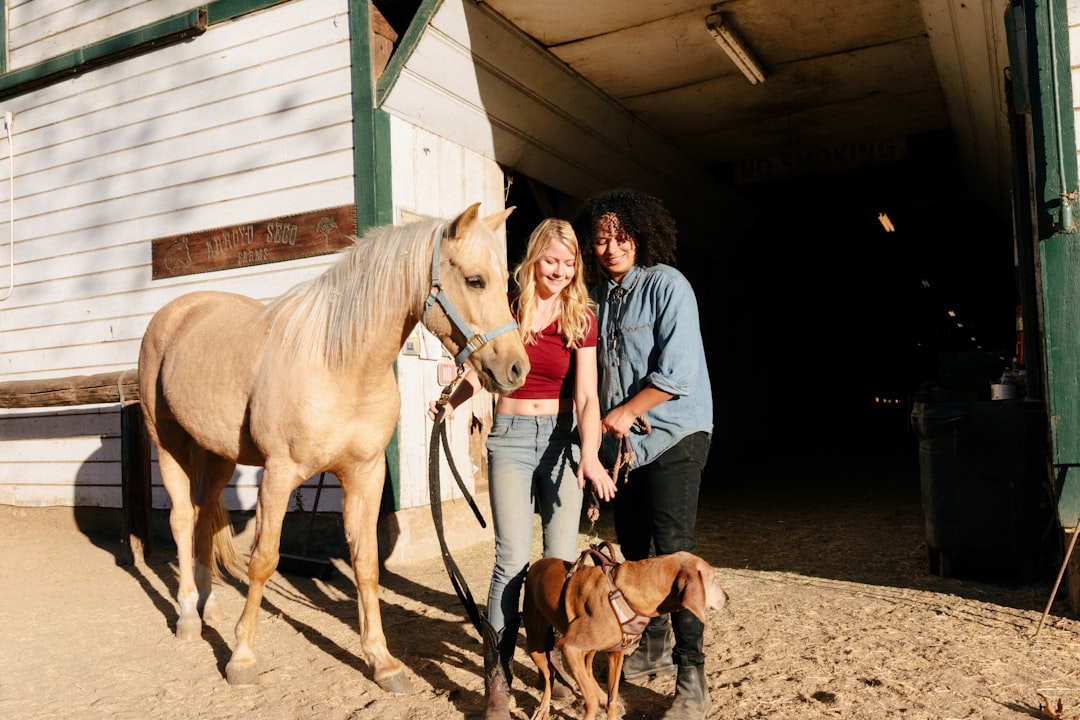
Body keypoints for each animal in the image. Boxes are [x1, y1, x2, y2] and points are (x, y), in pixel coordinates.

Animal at [139, 202, 527, 690]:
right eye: (476, 280)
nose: (516, 368)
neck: (340, 364)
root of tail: (175, 312)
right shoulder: (279, 474)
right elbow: (263, 559)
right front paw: (241, 657)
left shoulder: (365, 475)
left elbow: (366, 564)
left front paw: (382, 661)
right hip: (167, 441)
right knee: (182, 519)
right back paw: (190, 616)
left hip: (219, 454)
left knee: (206, 515)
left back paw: (210, 607)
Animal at [520, 548, 725, 716]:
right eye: (713, 579)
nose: (727, 597)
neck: (627, 593)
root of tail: (537, 564)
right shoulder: (569, 647)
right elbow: (590, 701)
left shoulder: (616, 652)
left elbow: (611, 699)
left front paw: (607, 700)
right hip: (535, 644)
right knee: (549, 676)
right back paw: (543, 709)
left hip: (588, 650)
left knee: (587, 671)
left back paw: (600, 695)